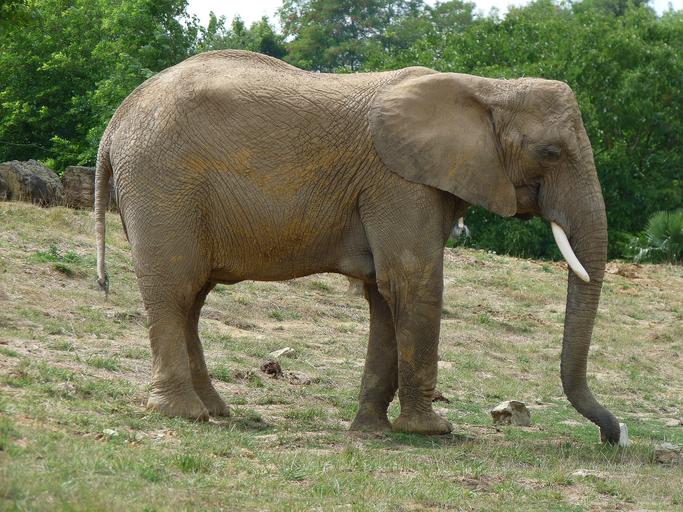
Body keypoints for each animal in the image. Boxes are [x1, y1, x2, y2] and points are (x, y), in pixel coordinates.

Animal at [95, 50, 626, 444]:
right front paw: (432, 430)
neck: (488, 88)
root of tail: (115, 122)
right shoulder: (400, 182)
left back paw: (215, 411)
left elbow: (383, 293)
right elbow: (412, 282)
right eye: (550, 153)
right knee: (175, 289)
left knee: (193, 297)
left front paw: (372, 430)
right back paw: (183, 415)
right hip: (162, 184)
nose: (613, 436)